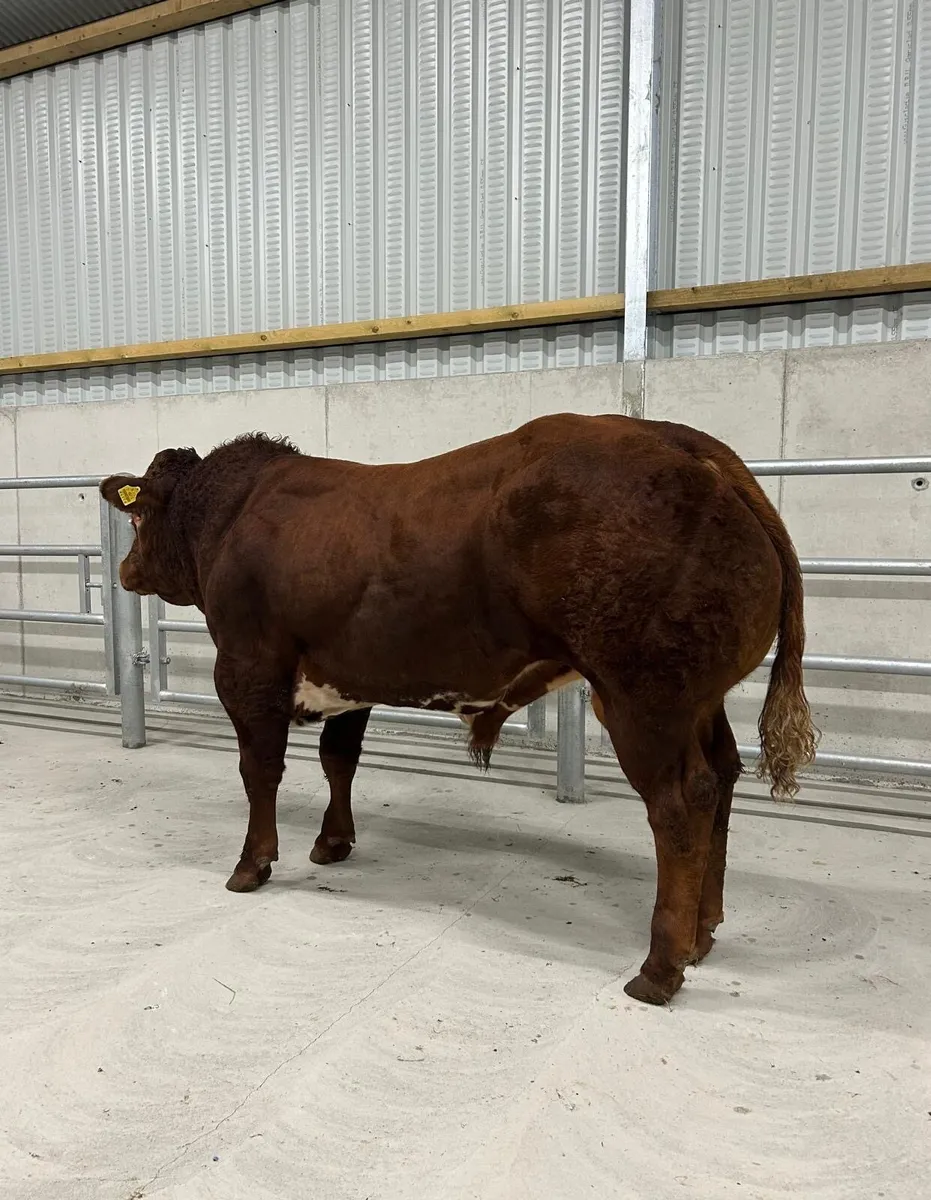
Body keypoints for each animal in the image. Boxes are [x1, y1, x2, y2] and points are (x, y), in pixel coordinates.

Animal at [101, 413, 816, 1005]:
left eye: (137, 519)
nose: (126, 571)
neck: (232, 518)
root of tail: (683, 442)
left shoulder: (247, 668)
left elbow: (261, 772)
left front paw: (252, 864)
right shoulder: (351, 672)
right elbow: (340, 760)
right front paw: (333, 841)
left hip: (644, 699)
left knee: (680, 802)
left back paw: (661, 967)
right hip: (699, 701)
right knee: (723, 775)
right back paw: (704, 932)